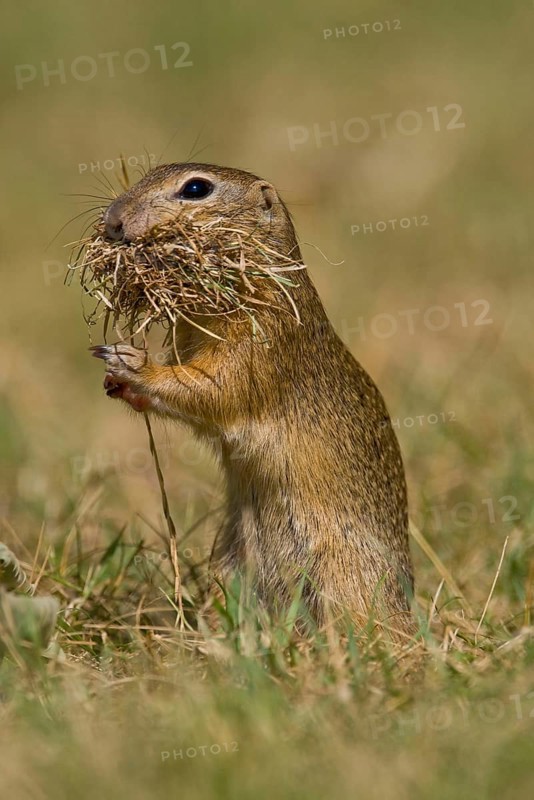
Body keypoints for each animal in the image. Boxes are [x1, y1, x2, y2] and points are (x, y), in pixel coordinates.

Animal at [91, 162, 415, 640]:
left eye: (195, 188)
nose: (114, 220)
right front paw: (118, 383)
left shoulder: (257, 347)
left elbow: (209, 389)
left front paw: (130, 362)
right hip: (230, 563)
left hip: (343, 574)